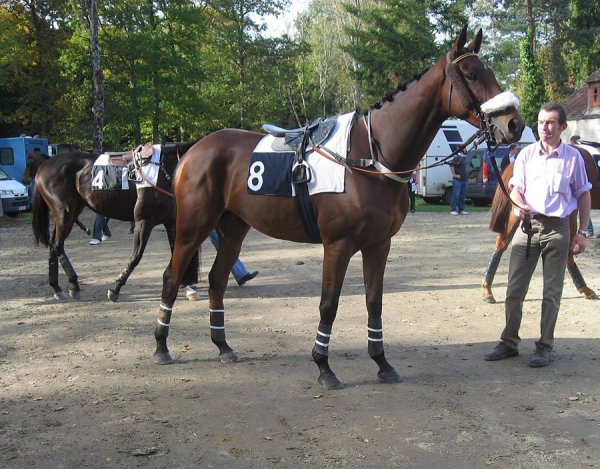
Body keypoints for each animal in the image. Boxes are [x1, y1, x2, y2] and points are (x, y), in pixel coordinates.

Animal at [30, 143, 200, 302]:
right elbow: (136, 256)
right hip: (65, 213)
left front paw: (188, 287)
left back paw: (57, 288)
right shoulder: (144, 221)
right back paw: (74, 284)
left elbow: (178, 254)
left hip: (69, 213)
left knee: (53, 245)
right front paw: (116, 288)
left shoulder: (172, 222)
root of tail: (44, 166)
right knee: (58, 245)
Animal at [154, 27, 524, 390]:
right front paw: (324, 367)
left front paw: (382, 362)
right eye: (472, 74)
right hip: (193, 226)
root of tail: (193, 149)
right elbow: (329, 304)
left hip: (233, 227)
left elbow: (374, 301)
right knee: (172, 276)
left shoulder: (379, 244)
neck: (368, 157)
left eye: (490, 72)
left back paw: (223, 346)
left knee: (217, 280)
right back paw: (161, 346)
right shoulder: (338, 245)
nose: (514, 125)